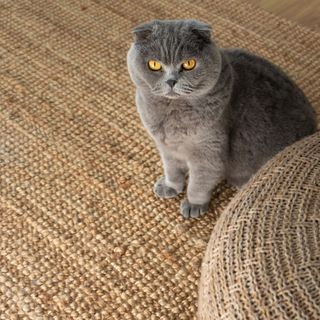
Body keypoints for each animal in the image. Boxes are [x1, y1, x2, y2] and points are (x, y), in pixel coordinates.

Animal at [126, 19, 316, 218]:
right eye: (154, 65)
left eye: (189, 64)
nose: (171, 81)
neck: (172, 115)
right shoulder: (167, 147)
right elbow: (172, 169)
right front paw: (170, 187)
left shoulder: (209, 151)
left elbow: (199, 182)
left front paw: (193, 204)